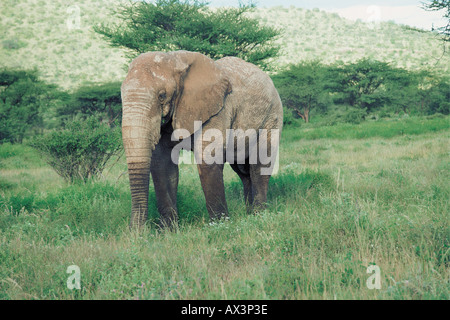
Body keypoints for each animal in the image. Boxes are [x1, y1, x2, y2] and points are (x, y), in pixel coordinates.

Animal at [119, 50, 282, 230]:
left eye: (162, 96)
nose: (137, 232)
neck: (174, 59)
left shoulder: (218, 109)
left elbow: (207, 159)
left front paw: (220, 226)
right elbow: (162, 163)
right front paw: (168, 231)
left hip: (272, 116)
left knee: (259, 166)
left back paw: (259, 215)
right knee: (243, 171)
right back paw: (249, 215)